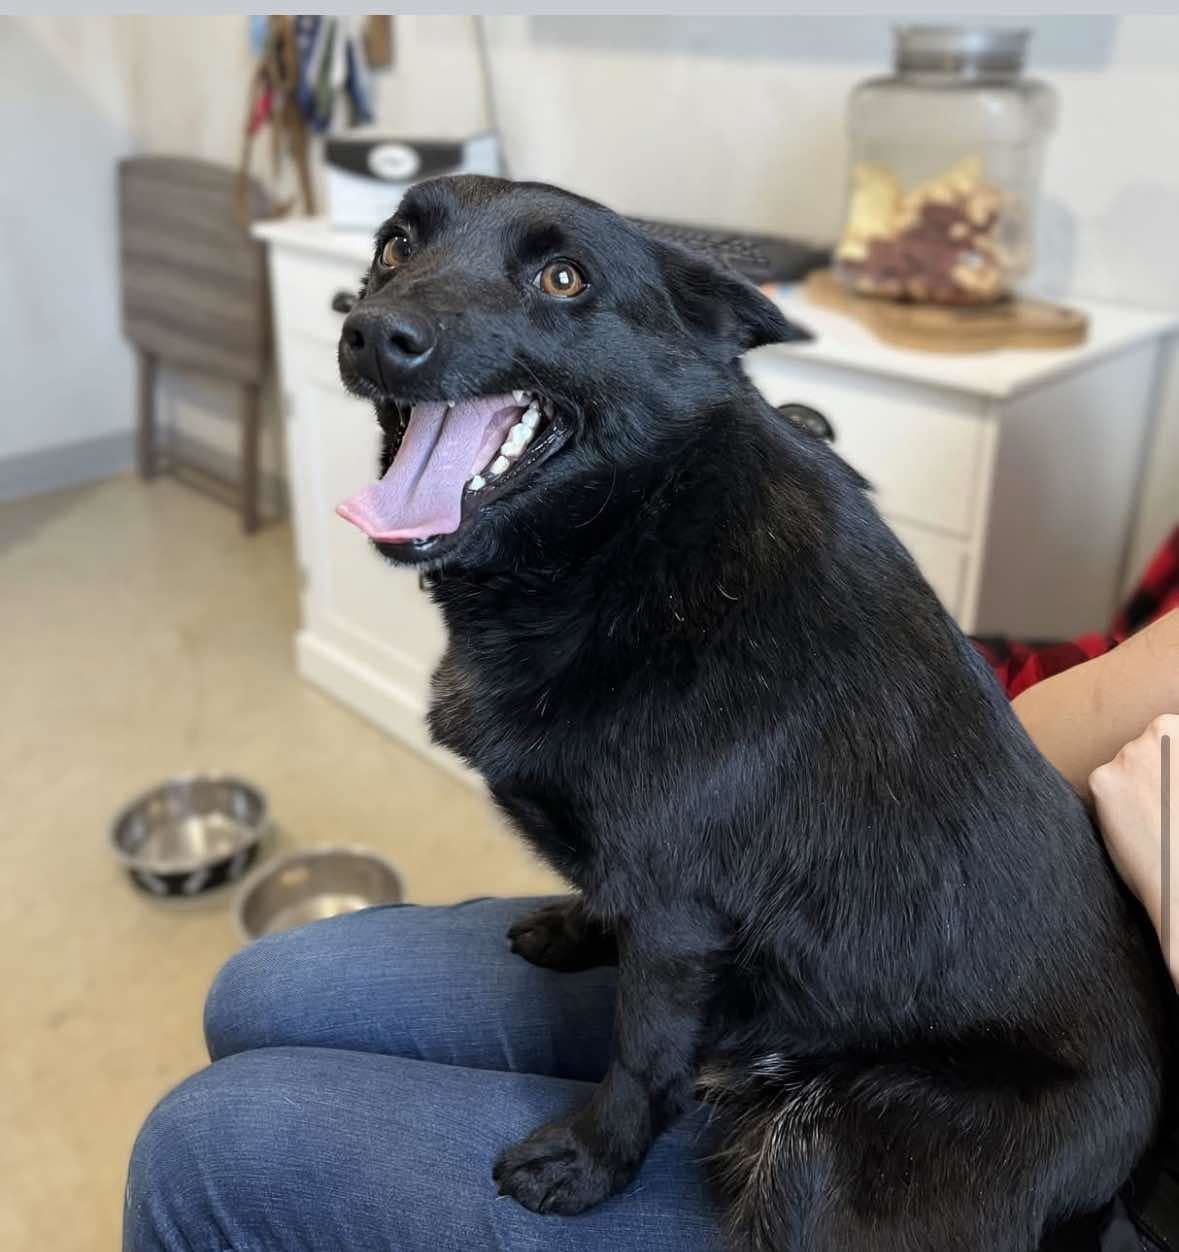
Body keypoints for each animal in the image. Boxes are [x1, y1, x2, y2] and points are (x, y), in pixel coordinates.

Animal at [337, 179, 1166, 1252]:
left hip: (822, 1154)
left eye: (562, 278)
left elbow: (642, 1052)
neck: (636, 532)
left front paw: (591, 1161)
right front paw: (576, 926)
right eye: (395, 246)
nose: (370, 333)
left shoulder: (677, 915)